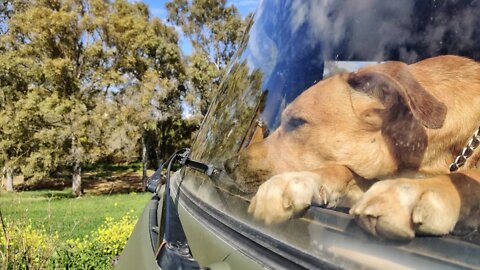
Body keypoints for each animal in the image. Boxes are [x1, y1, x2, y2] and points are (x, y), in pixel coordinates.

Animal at [225, 54, 480, 238]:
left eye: (297, 122)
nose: (228, 164)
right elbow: (341, 172)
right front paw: (297, 182)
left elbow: (465, 178)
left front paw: (414, 192)